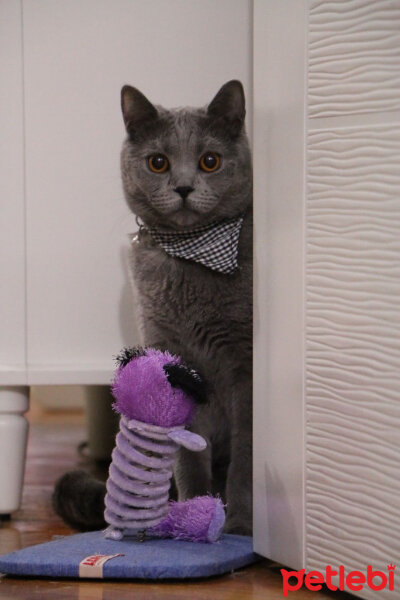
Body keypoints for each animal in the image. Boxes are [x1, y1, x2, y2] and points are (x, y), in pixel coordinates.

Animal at [51, 79, 252, 536]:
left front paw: (241, 525)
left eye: (210, 161)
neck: (189, 256)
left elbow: (247, 454)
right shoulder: (171, 354)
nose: (183, 187)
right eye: (158, 163)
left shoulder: (245, 363)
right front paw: (193, 513)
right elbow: (188, 455)